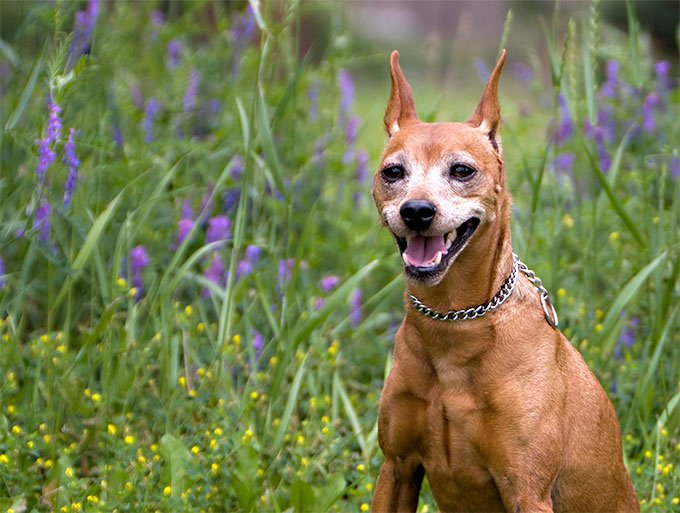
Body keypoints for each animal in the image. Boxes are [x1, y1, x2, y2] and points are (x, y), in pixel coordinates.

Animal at [370, 51, 640, 512]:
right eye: (393, 172)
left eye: (462, 170)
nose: (417, 211)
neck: (454, 322)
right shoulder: (397, 468)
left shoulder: (526, 488)